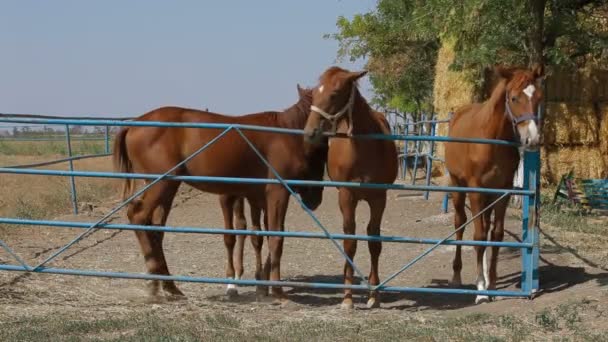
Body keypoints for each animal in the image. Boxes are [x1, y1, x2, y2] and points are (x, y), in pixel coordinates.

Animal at [111, 85, 326, 302]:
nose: (314, 199)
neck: (283, 133)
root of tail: (133, 125)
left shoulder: (259, 197)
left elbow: (262, 234)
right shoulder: (276, 193)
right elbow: (273, 235)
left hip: (166, 188)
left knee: (154, 230)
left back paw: (170, 286)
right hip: (161, 185)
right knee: (138, 216)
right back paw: (155, 284)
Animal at [304, 67, 400, 310]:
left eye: (335, 93)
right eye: (314, 93)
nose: (309, 132)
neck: (365, 149)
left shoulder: (379, 198)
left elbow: (374, 242)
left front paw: (374, 295)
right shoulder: (347, 196)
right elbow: (349, 242)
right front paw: (347, 297)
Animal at [444, 65, 544, 304]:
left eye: (539, 97)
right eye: (514, 98)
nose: (533, 139)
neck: (491, 138)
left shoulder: (501, 192)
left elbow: (496, 235)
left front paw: (492, 284)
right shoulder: (476, 191)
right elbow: (479, 237)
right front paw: (481, 290)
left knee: (485, 225)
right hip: (458, 187)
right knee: (460, 223)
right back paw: (457, 277)